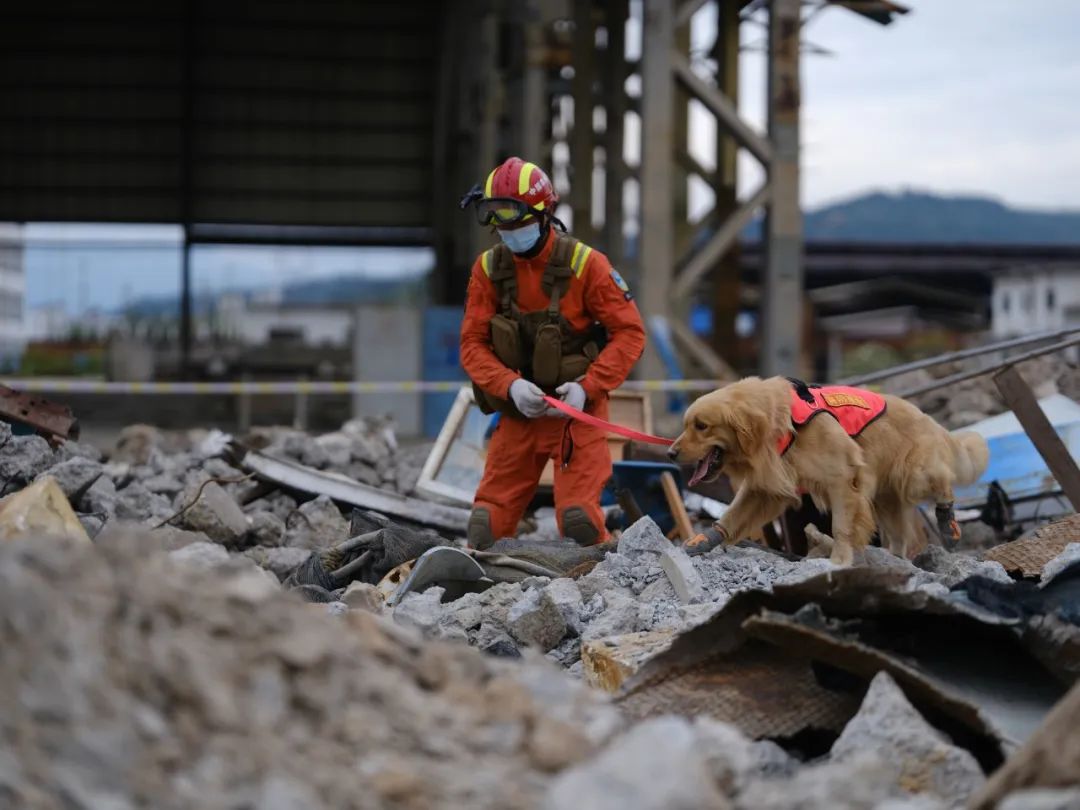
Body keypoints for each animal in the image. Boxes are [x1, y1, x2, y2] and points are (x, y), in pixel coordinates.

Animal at [669, 378, 989, 565]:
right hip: (886, 500)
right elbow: (733, 516)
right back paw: (894, 559)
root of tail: (929, 419)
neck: (782, 422)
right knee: (900, 536)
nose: (670, 453)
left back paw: (948, 523)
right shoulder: (765, 488)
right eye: (686, 425)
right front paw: (704, 540)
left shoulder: (843, 479)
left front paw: (839, 560)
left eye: (701, 426)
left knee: (942, 484)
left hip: (914, 475)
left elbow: (840, 527)